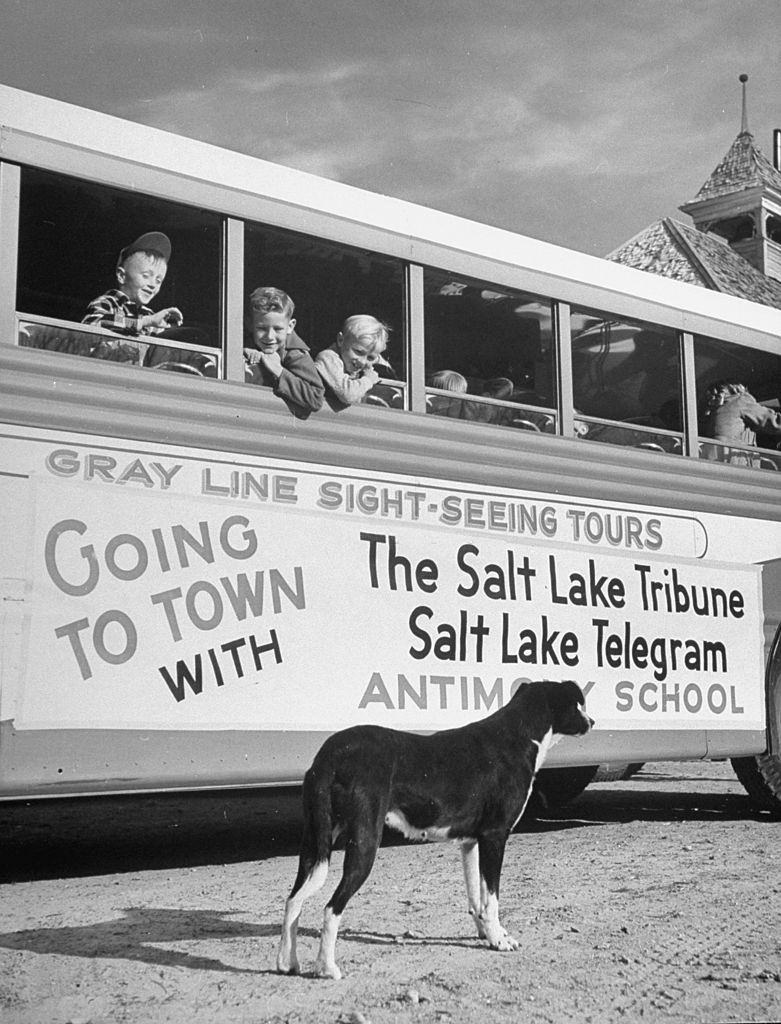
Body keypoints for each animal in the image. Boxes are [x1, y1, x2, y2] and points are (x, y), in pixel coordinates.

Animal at [276, 679, 593, 974]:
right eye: (578, 704)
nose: (592, 722)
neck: (518, 735)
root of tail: (330, 755)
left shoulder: (472, 843)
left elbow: (477, 899)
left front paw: (488, 935)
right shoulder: (495, 837)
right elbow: (491, 900)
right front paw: (499, 941)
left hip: (315, 844)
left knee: (293, 901)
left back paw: (286, 963)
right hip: (364, 843)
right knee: (332, 907)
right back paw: (327, 968)